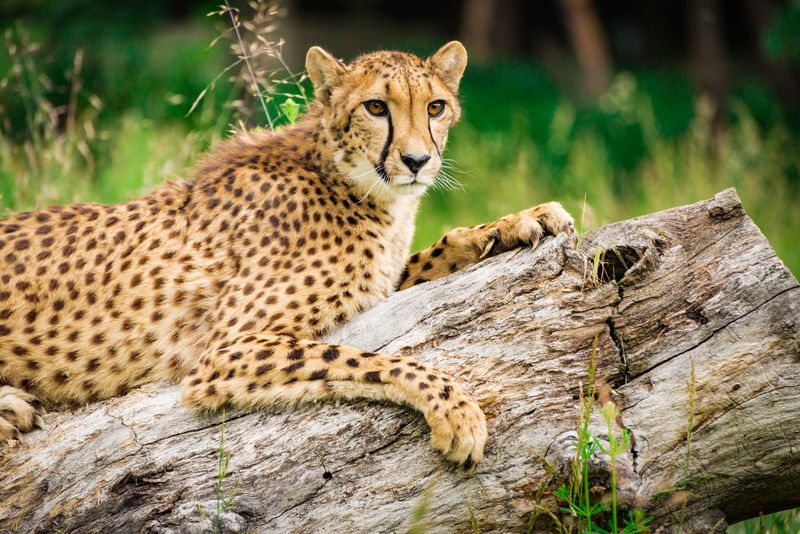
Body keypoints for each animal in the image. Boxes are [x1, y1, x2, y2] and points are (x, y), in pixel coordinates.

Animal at [0, 41, 573, 467]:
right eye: (376, 107)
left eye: (436, 107)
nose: (416, 161)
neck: (352, 182)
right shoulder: (225, 352)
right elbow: (369, 359)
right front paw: (457, 410)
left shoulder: (381, 280)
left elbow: (432, 253)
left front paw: (518, 222)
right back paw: (11, 406)